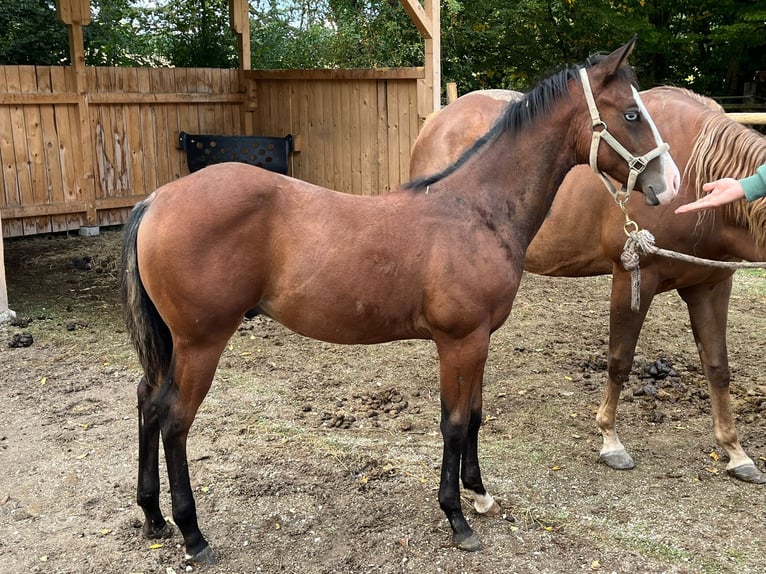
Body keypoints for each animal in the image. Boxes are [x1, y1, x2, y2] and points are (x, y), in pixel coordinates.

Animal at [121, 40, 680, 568]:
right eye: (632, 113)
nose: (669, 184)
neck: (476, 211)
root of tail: (157, 199)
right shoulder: (458, 342)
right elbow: (453, 424)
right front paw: (457, 520)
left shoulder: (479, 340)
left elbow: (474, 417)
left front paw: (479, 495)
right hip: (201, 343)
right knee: (174, 421)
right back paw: (193, 535)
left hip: (174, 345)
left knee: (148, 403)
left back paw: (153, 518)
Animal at [414, 83, 766, 484]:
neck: (693, 175)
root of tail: (437, 121)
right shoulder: (634, 274)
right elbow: (619, 361)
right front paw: (611, 441)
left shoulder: (712, 284)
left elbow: (718, 367)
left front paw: (736, 452)